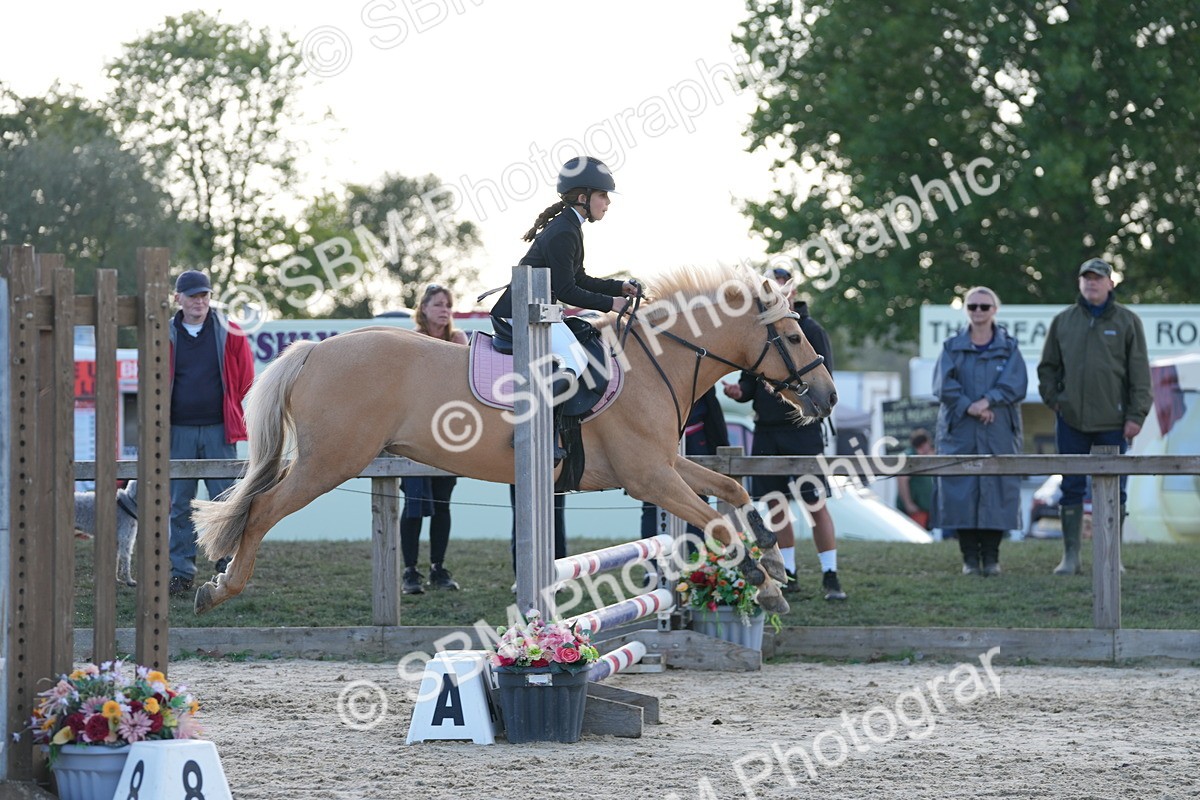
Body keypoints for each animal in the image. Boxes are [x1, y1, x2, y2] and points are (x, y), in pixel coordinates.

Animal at [191, 266, 838, 615]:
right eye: (791, 336)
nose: (827, 397)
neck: (655, 362)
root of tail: (315, 350)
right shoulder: (648, 477)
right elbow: (718, 520)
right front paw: (765, 583)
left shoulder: (665, 467)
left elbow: (733, 491)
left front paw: (772, 561)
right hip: (329, 462)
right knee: (260, 509)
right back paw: (219, 589)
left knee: (256, 504)